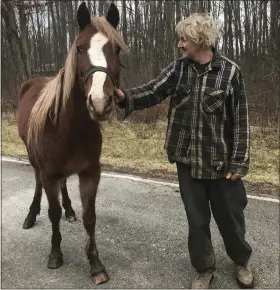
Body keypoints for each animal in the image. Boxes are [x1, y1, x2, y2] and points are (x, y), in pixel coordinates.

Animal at [16, 1, 128, 284]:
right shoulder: (49, 174)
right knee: (37, 183)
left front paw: (95, 263)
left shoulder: (90, 173)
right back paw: (31, 214)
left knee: (65, 185)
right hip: (36, 162)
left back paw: (69, 209)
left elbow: (90, 217)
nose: (99, 103)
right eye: (79, 48)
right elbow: (52, 213)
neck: (70, 127)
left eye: (116, 49)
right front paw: (55, 254)